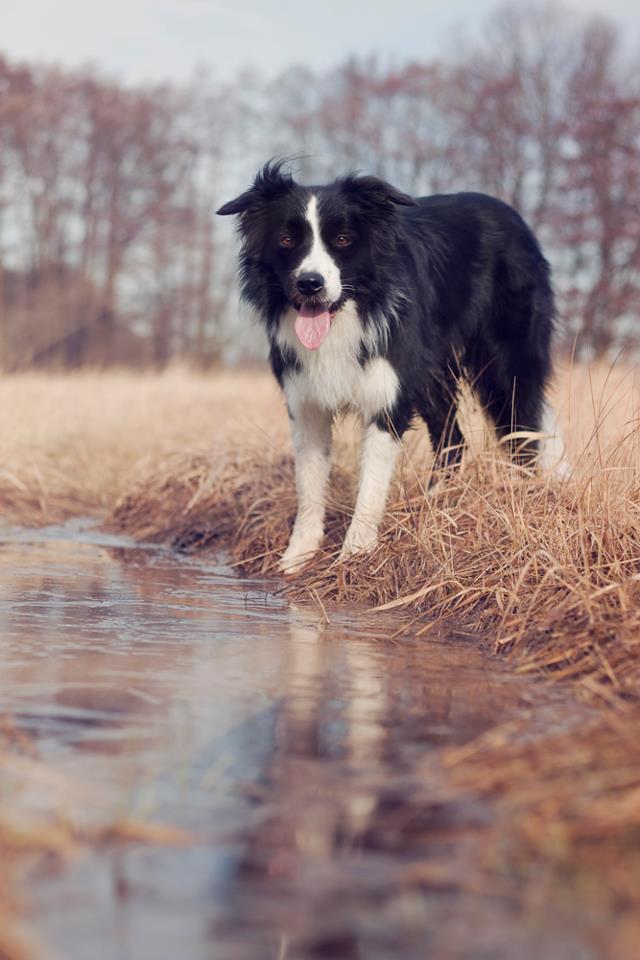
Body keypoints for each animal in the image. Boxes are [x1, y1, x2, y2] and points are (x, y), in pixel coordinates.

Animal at [219, 161, 564, 572]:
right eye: (287, 241)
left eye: (343, 240)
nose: (309, 284)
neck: (346, 317)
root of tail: (514, 217)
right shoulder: (305, 401)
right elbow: (309, 482)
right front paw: (297, 557)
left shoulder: (386, 394)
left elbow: (371, 481)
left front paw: (355, 553)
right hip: (432, 376)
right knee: (454, 440)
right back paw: (434, 504)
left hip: (505, 359)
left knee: (522, 428)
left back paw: (521, 495)